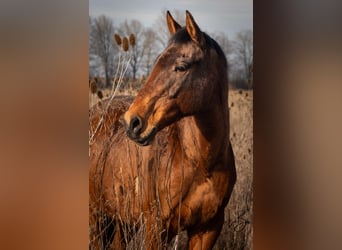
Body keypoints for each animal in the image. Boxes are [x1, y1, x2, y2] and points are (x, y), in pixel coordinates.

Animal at [89, 10, 236, 249]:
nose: (132, 122)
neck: (200, 162)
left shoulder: (208, 229)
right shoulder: (157, 228)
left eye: (181, 67)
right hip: (96, 217)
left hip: (122, 222)